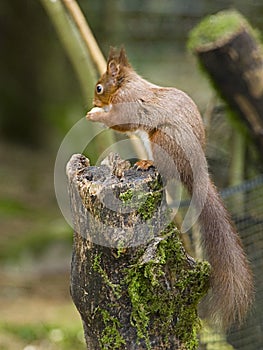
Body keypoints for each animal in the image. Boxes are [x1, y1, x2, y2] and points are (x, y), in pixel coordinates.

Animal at [86, 46, 254, 328]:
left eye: (99, 87)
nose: (95, 102)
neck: (126, 83)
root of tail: (197, 169)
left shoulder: (129, 102)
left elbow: (120, 120)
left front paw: (95, 115)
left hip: (162, 140)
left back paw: (146, 163)